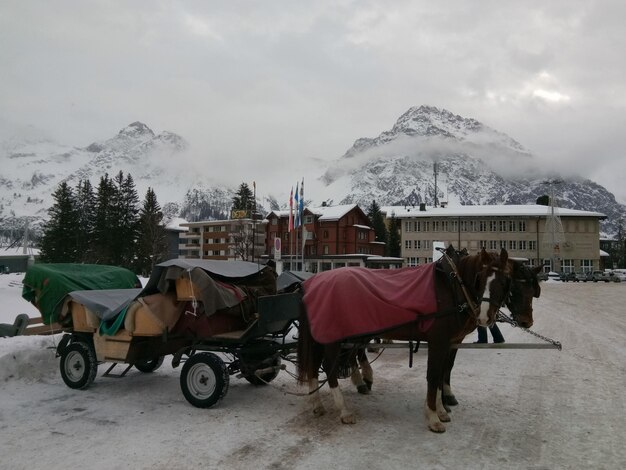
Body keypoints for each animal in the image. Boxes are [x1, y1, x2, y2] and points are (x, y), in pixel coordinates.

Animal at [298, 246, 512, 434]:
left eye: (503, 281)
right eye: (480, 278)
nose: (485, 317)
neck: (450, 286)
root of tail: (312, 283)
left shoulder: (450, 342)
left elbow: (443, 373)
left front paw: (441, 410)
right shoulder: (438, 342)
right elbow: (434, 375)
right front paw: (433, 417)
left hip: (329, 336)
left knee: (315, 365)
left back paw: (318, 403)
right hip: (332, 337)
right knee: (329, 368)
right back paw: (344, 410)